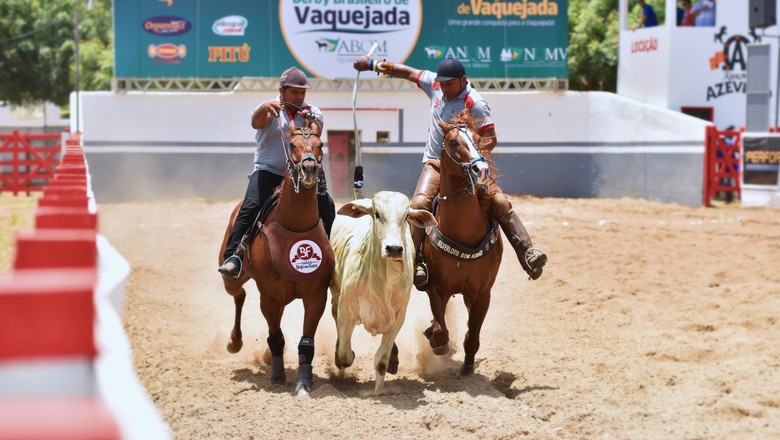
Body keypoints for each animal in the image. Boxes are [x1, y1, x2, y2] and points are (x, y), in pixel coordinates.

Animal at [218, 117, 334, 396]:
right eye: (291, 144)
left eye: (319, 144)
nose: (309, 169)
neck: (294, 226)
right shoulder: (268, 297)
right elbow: (276, 337)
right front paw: (278, 377)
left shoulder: (316, 296)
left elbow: (306, 342)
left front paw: (304, 383)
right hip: (232, 277)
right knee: (238, 295)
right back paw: (234, 342)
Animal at [328, 191, 438, 394]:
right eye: (377, 214)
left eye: (406, 217)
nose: (394, 248)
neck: (381, 281)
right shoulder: (346, 311)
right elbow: (345, 355)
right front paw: (343, 358)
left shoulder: (397, 319)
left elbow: (381, 361)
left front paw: (378, 392)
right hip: (336, 295)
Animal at [424, 110, 502, 374]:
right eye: (453, 142)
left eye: (478, 139)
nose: (481, 170)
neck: (463, 232)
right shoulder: (436, 286)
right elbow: (440, 329)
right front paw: (437, 342)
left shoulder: (482, 293)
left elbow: (473, 334)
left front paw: (468, 365)